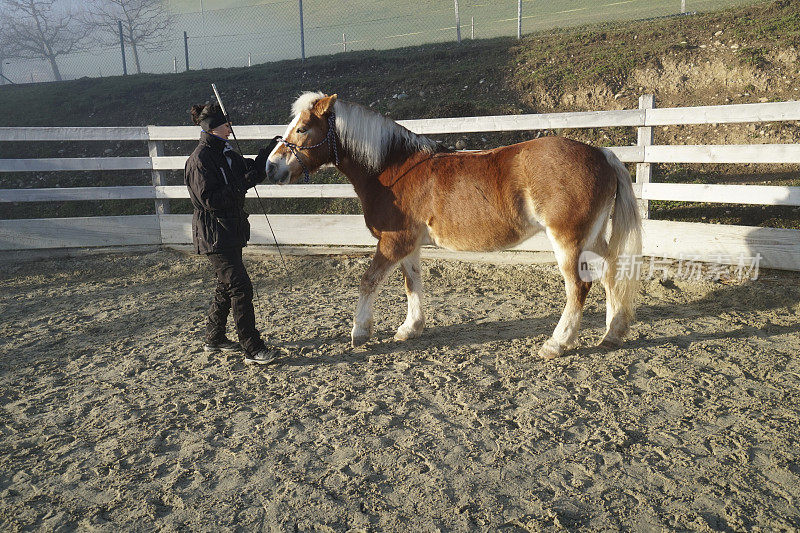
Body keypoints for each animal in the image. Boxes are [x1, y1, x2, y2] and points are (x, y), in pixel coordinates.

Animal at [268, 91, 644, 360]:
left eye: (302, 128)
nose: (271, 167)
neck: (393, 168)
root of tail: (602, 154)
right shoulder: (409, 245)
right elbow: (412, 283)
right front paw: (410, 328)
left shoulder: (392, 242)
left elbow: (368, 281)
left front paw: (360, 331)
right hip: (592, 238)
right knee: (612, 273)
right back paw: (612, 333)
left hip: (568, 240)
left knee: (579, 287)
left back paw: (557, 343)